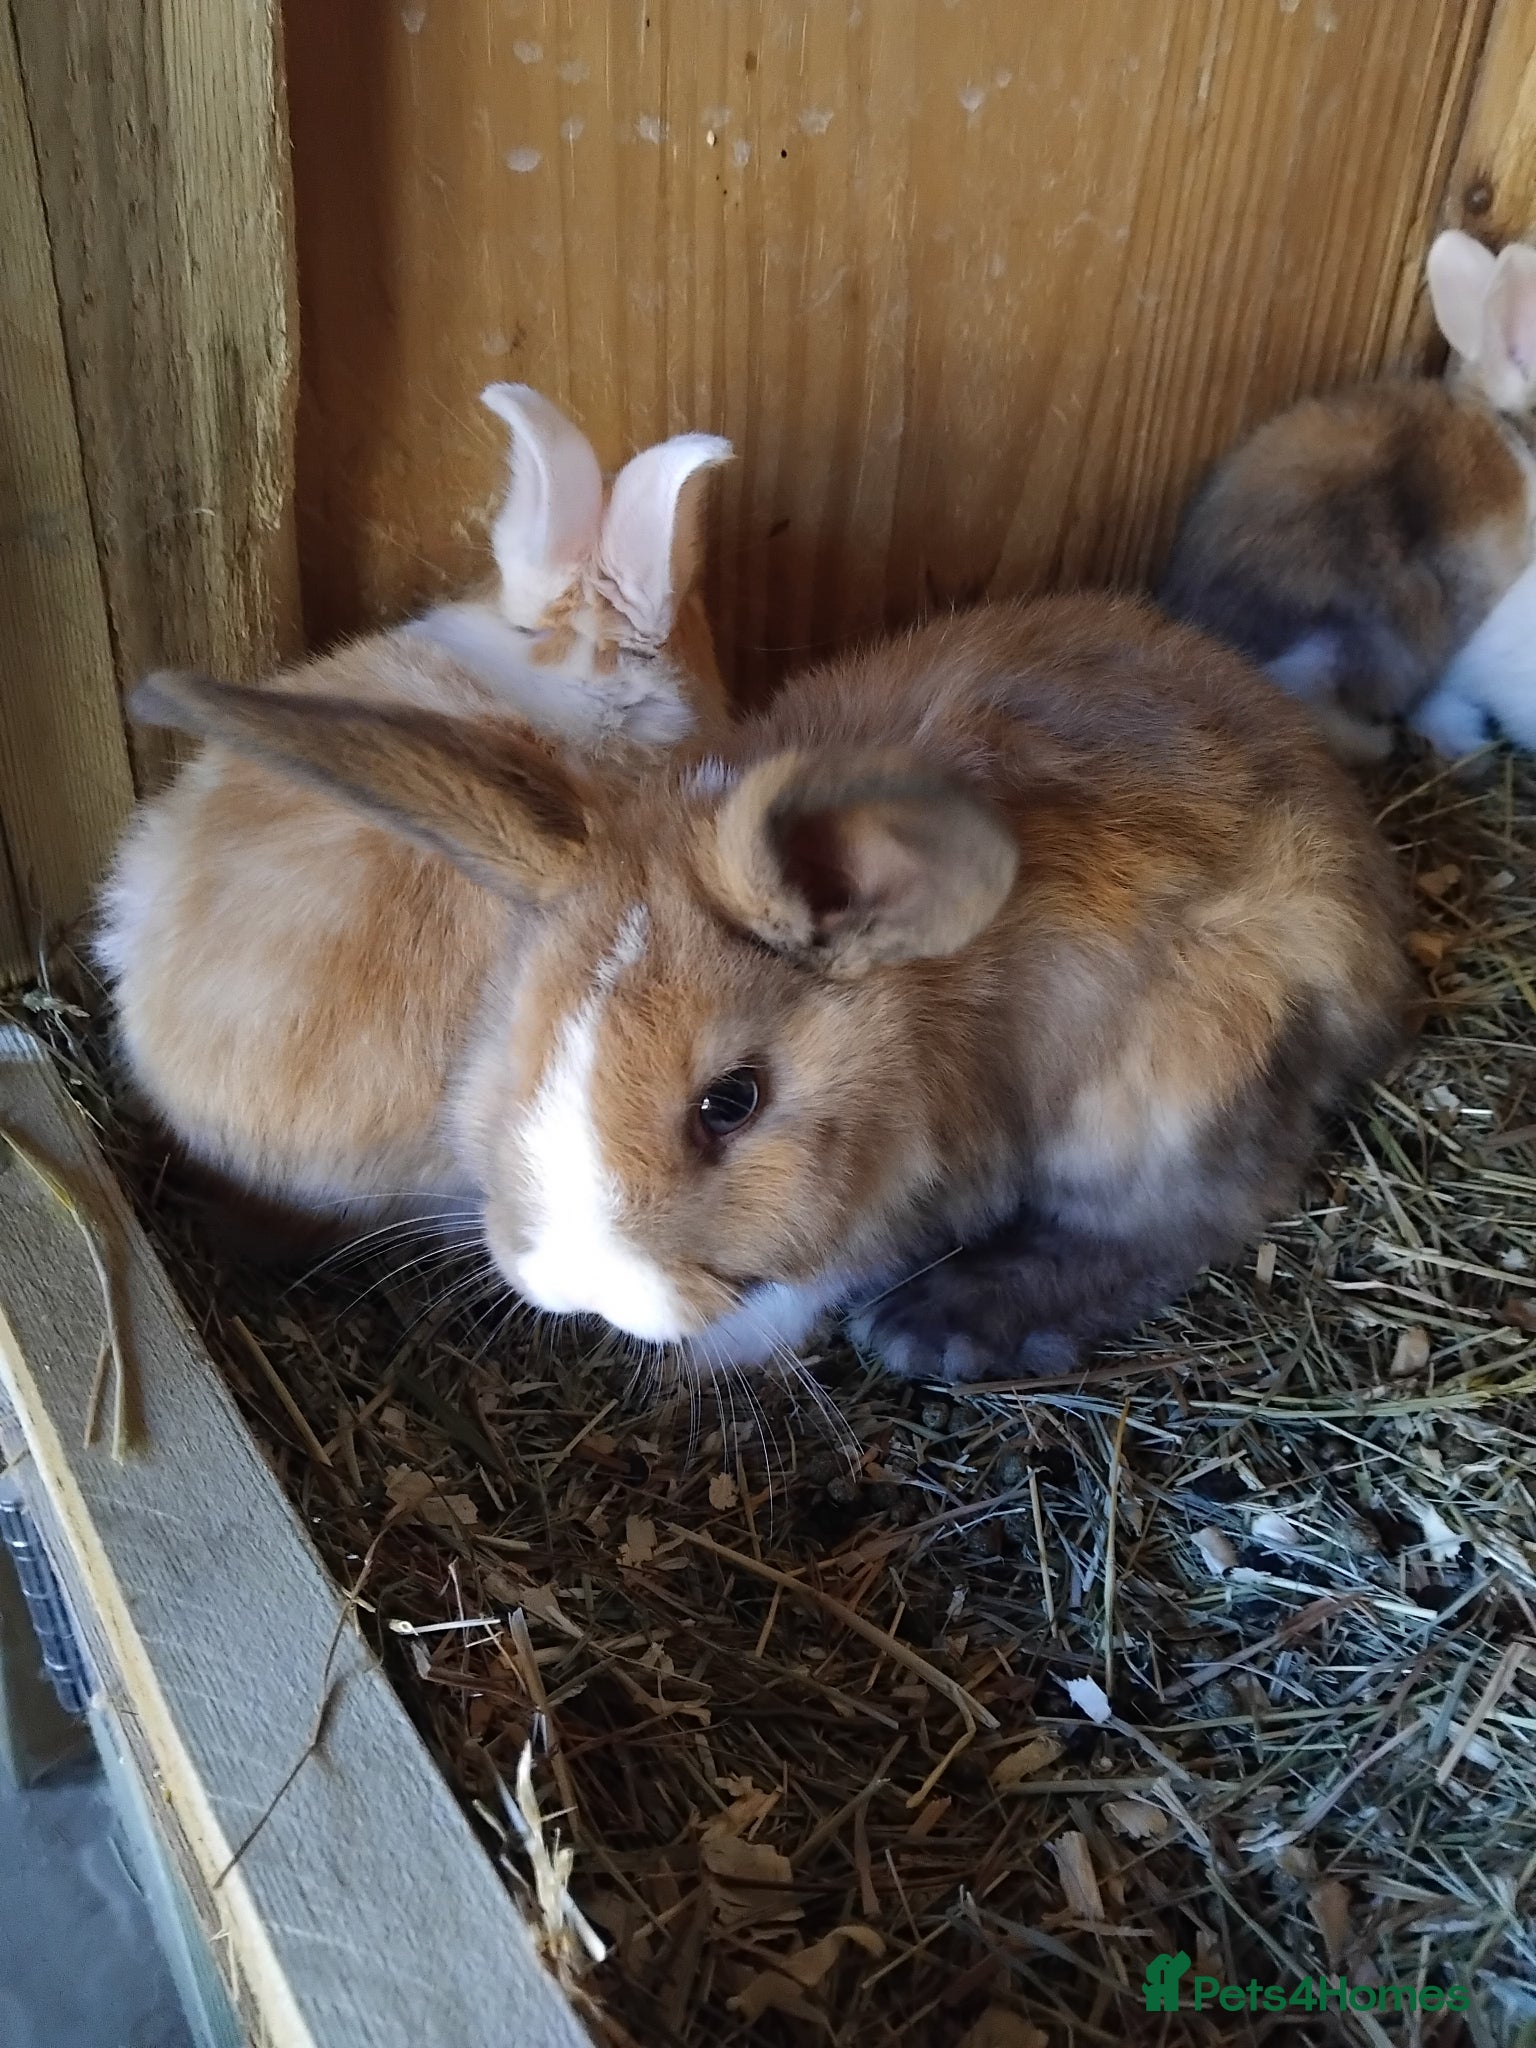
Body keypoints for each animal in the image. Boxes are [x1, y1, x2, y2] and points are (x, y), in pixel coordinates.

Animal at [126, 594, 1409, 1384]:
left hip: (1173, 1080)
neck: (920, 1011)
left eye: (730, 1102)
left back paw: (945, 1326)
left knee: (1189, 1216)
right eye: (521, 1048)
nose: (582, 1285)